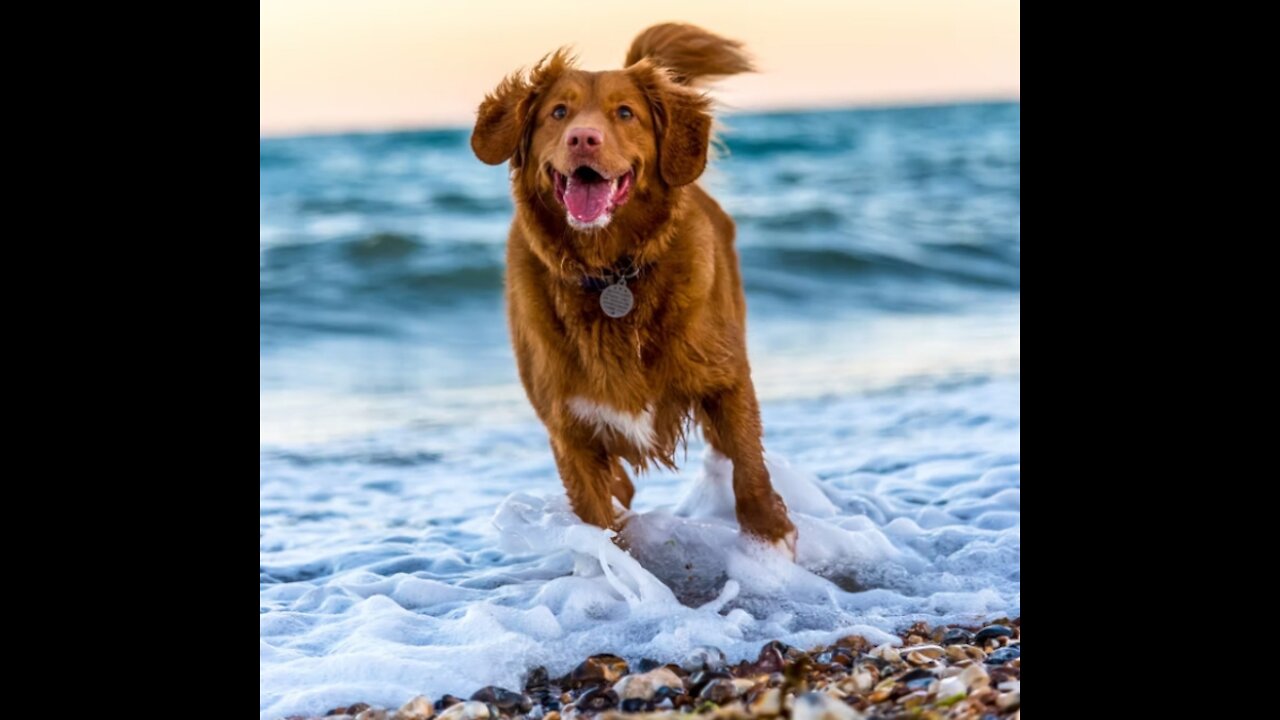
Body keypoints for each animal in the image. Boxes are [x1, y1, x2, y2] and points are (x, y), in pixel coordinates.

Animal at [471, 20, 793, 548]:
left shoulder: (726, 379)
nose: (583, 138)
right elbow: (599, 520)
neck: (611, 273)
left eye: (625, 113)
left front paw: (771, 534)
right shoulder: (569, 428)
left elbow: (748, 465)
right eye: (558, 112)